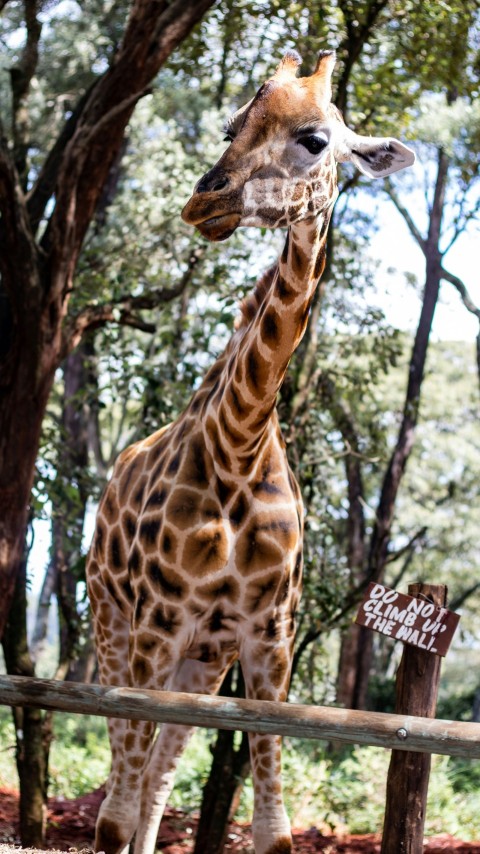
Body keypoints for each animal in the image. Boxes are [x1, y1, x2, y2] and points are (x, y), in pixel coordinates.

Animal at [88, 48, 414, 854]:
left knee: (156, 778)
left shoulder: (269, 640)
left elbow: (273, 830)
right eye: (232, 124)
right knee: (125, 773)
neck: (240, 441)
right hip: (114, 627)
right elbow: (112, 817)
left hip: (205, 659)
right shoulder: (155, 625)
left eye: (316, 139)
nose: (204, 202)